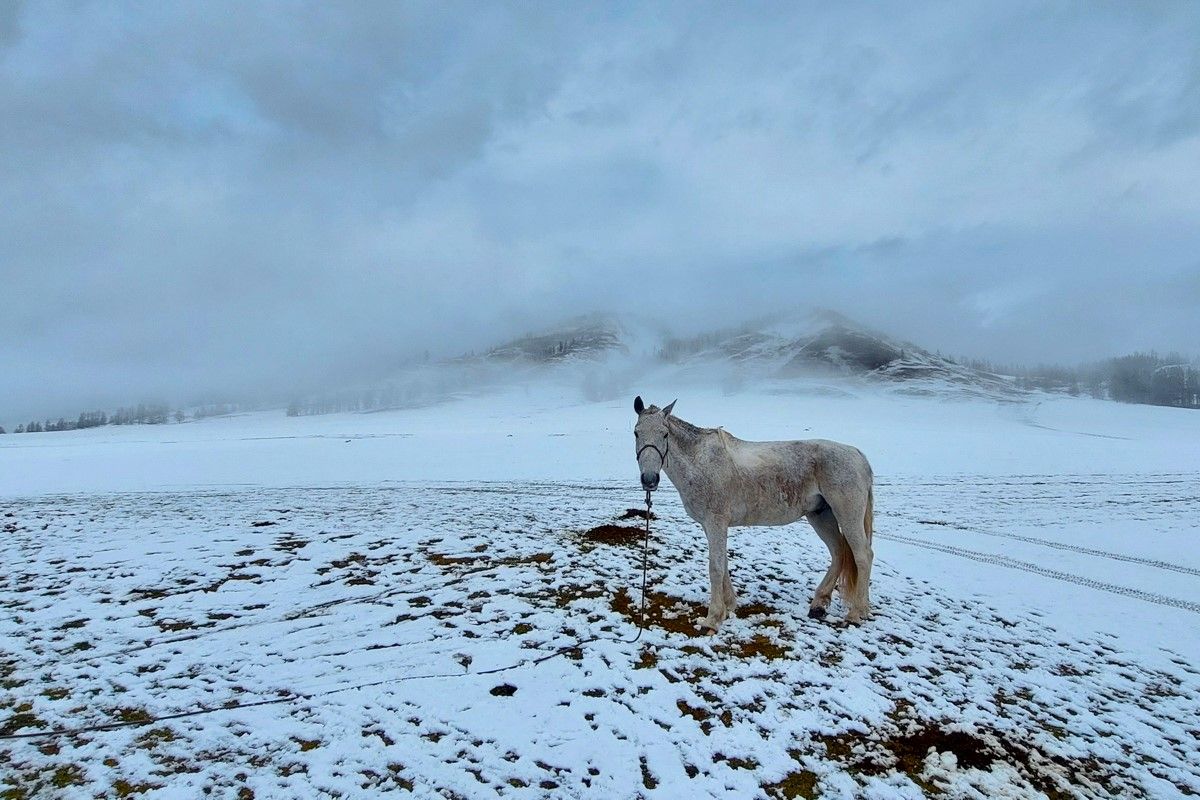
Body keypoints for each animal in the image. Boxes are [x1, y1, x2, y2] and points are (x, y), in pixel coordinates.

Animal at [633, 398, 878, 628]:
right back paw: (819, 604)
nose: (649, 479)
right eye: (636, 432)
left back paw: (857, 613)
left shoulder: (716, 522)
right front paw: (729, 606)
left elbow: (715, 567)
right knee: (838, 553)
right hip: (820, 515)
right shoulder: (709, 525)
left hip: (847, 516)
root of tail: (858, 455)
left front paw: (713, 618)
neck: (701, 463)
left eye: (664, 434)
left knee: (863, 556)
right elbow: (723, 564)